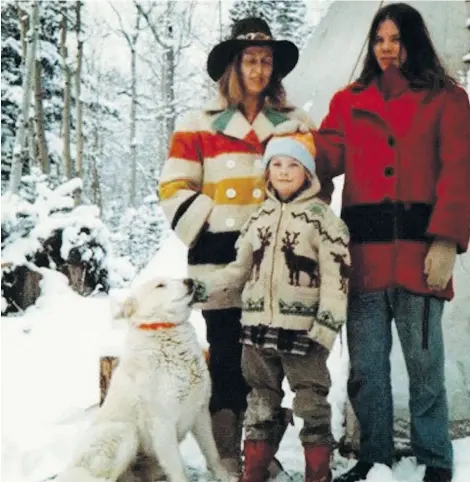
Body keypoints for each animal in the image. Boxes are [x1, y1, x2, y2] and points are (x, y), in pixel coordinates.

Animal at [56, 276, 229, 482]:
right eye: (160, 285)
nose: (190, 281)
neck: (165, 330)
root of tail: (73, 467)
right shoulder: (162, 422)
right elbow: (178, 469)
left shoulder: (200, 412)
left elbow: (212, 452)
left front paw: (225, 475)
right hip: (125, 434)